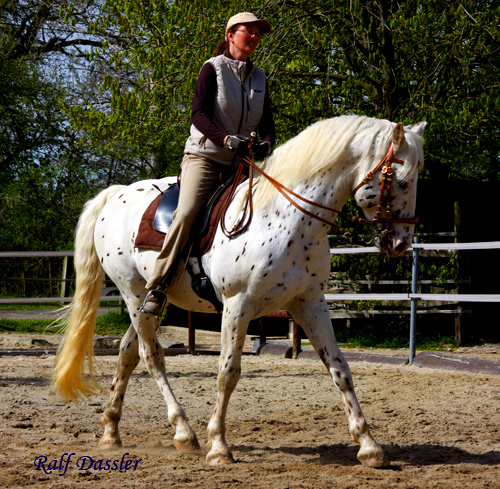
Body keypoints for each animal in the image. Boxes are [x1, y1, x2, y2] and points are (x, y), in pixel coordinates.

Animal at [50, 113, 426, 466]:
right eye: (401, 180)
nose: (399, 243)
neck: (286, 216)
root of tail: (115, 195)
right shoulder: (237, 305)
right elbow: (227, 373)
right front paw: (218, 446)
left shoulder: (309, 303)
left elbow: (340, 370)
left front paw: (369, 446)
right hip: (134, 294)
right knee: (151, 355)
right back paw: (184, 432)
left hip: (151, 302)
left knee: (128, 353)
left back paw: (111, 431)